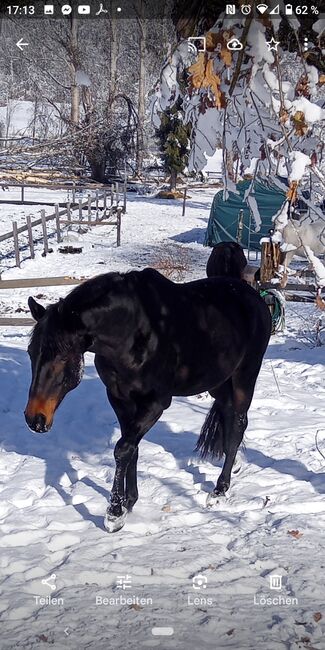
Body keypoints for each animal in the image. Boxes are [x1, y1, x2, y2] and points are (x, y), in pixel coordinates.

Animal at [24, 268, 270, 532]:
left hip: (244, 377)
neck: (132, 332)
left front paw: (114, 514)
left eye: (62, 357)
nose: (34, 419)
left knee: (239, 424)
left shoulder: (155, 403)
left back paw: (219, 490)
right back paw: (234, 463)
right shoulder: (119, 399)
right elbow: (131, 446)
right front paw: (129, 501)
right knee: (227, 412)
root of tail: (255, 298)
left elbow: (123, 448)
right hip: (217, 382)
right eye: (31, 353)